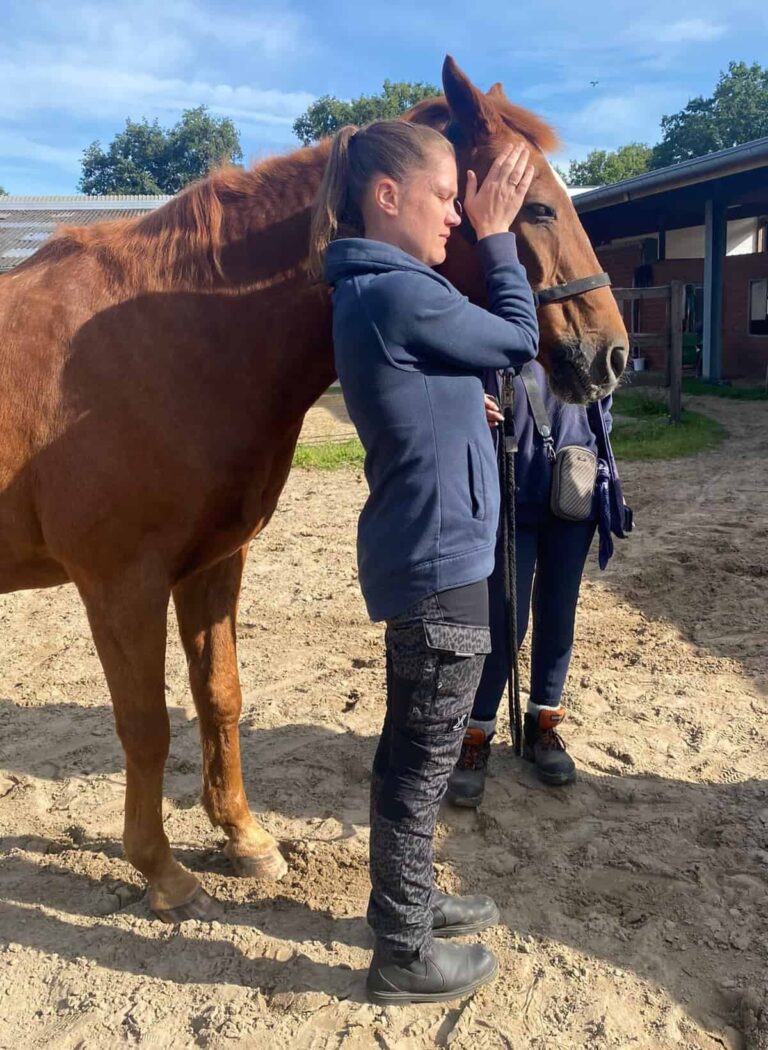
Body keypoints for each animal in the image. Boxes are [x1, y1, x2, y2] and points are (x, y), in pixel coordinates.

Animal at [0, 57, 628, 922]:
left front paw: (244, 838)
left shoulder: (211, 566)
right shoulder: (120, 584)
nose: (612, 356)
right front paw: (161, 871)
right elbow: (145, 725)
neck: (165, 342)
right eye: (532, 205)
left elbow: (219, 697)